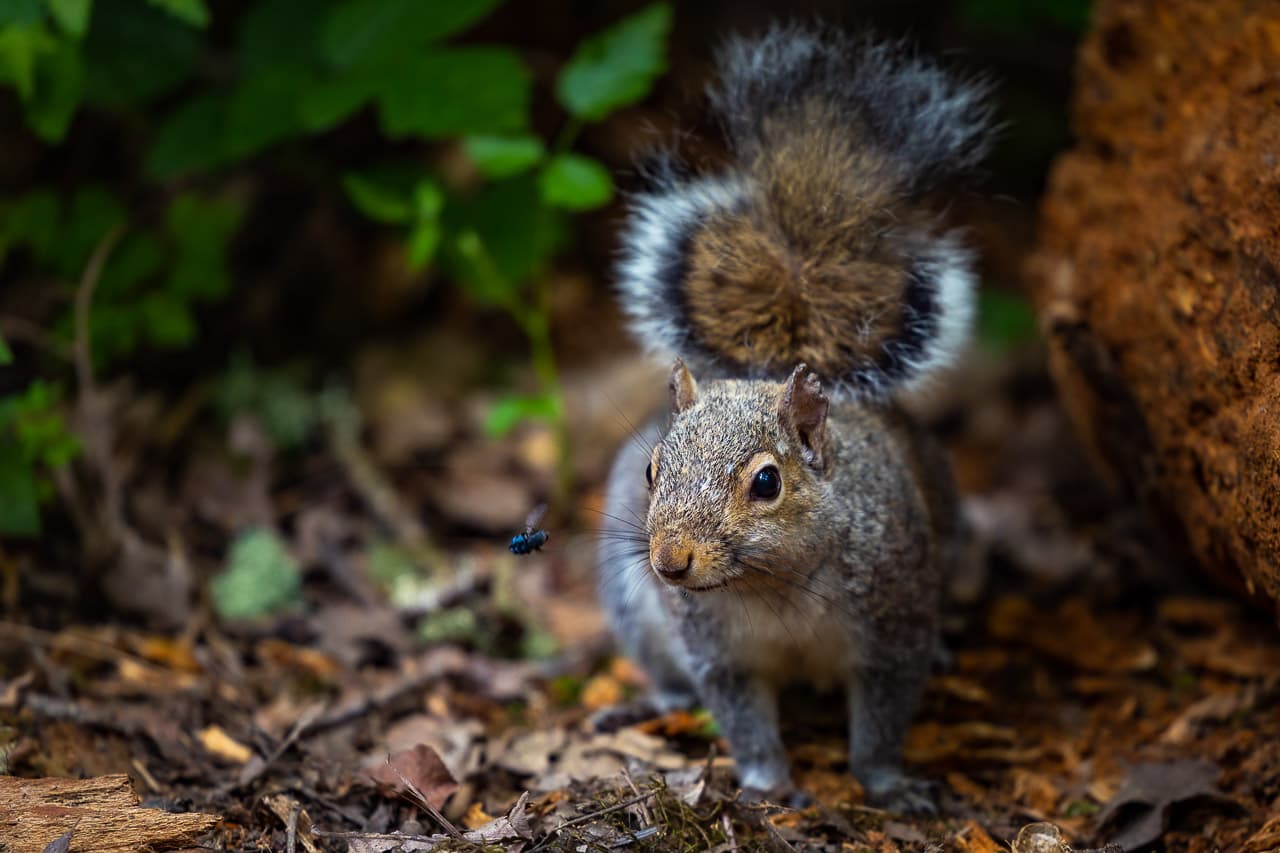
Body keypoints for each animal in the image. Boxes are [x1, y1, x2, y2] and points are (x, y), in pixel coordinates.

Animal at [596, 24, 992, 812]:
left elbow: (882, 718)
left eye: (767, 483)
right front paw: (766, 781)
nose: (669, 562)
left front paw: (889, 784)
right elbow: (743, 716)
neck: (769, 585)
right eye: (653, 469)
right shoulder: (717, 651)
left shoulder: (892, 624)